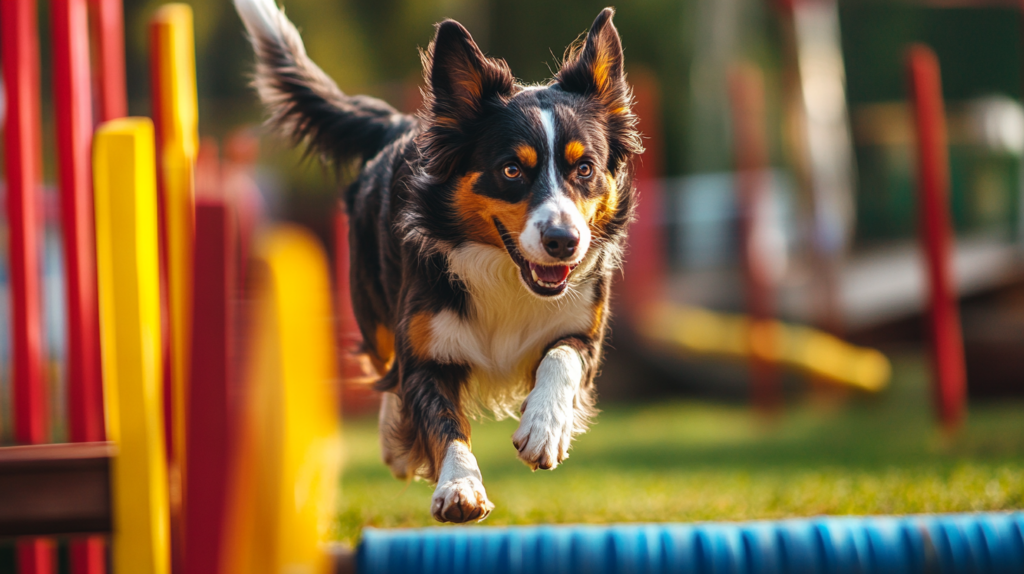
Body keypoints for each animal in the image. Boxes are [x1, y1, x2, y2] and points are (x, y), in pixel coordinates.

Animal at [236, 0, 643, 521]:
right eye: (511, 170)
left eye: (585, 168)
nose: (564, 241)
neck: (505, 274)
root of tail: (400, 125)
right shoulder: (428, 352)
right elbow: (440, 419)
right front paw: (460, 486)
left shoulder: (584, 330)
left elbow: (562, 360)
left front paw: (543, 428)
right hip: (372, 302)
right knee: (387, 365)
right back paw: (393, 442)